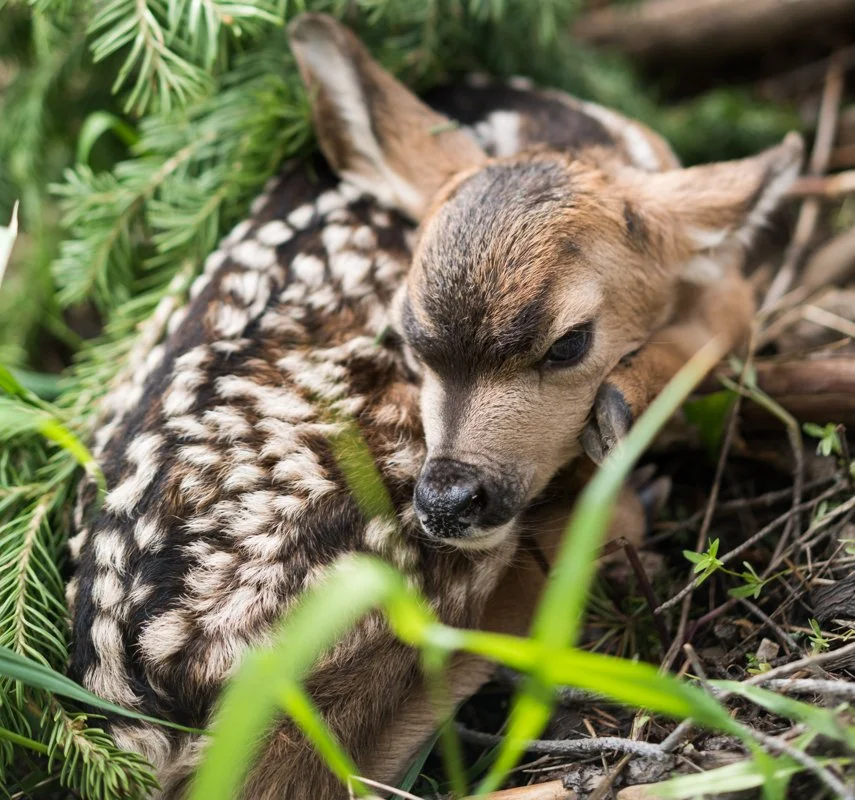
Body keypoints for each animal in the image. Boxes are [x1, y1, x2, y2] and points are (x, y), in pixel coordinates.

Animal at [66, 12, 804, 799]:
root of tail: (151, 699)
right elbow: (730, 305)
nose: (448, 498)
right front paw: (628, 406)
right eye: (409, 336)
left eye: (570, 342)